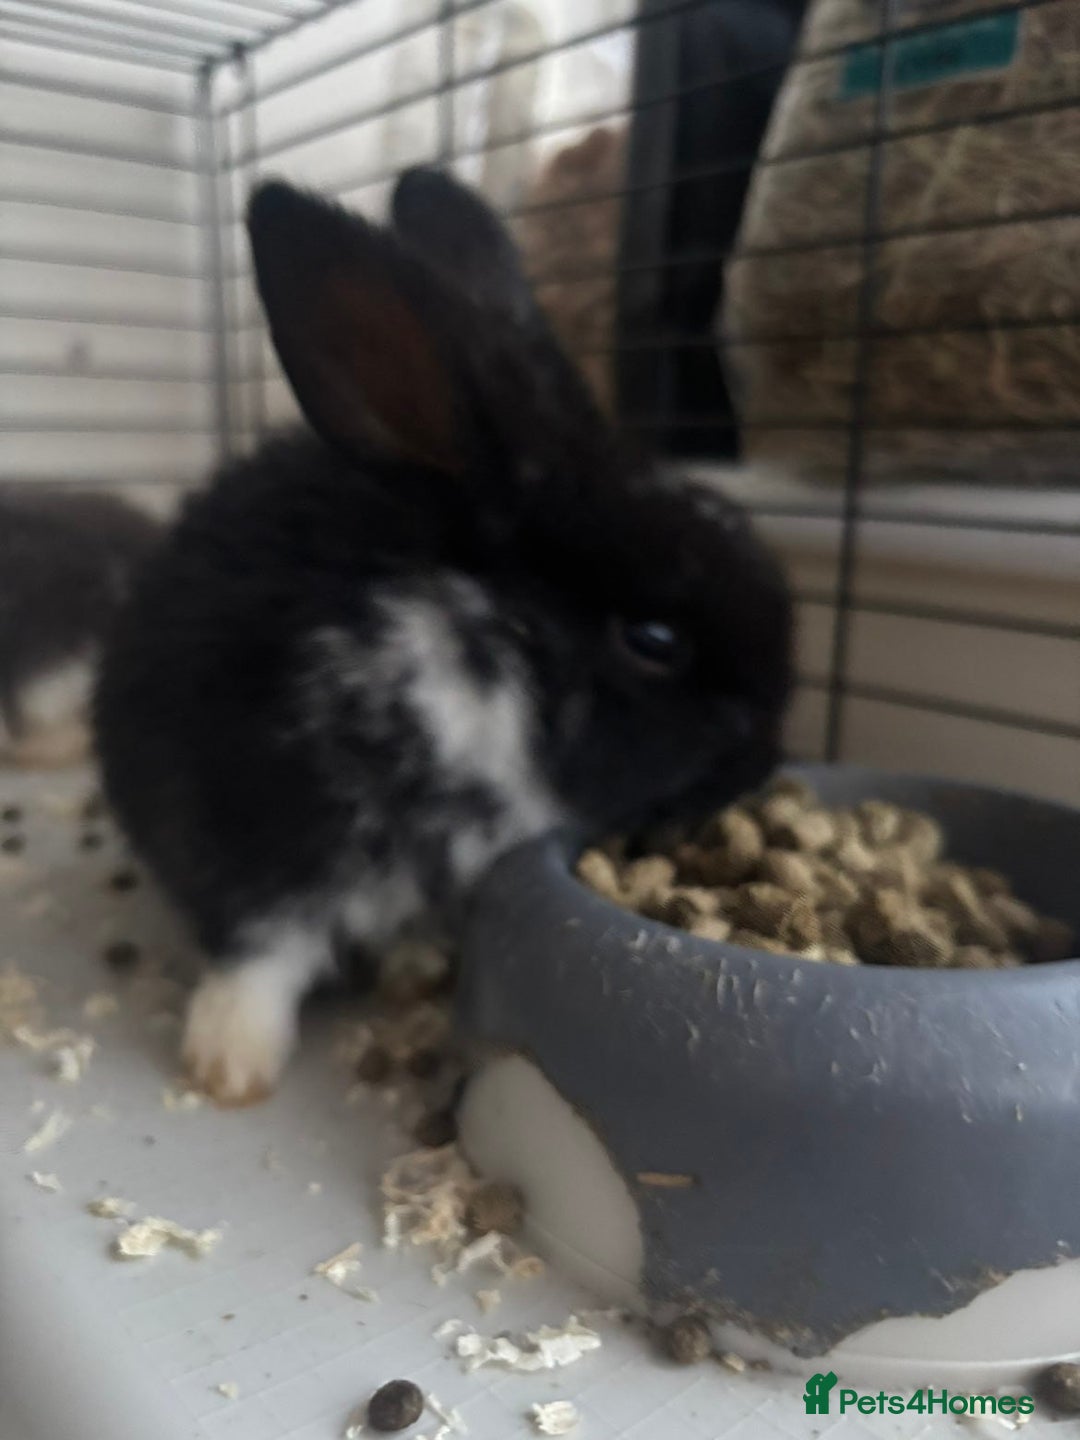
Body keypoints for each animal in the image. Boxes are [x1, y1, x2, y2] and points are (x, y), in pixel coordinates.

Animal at [94, 167, 793, 1106]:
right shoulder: (258, 840)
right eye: (654, 640)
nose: (764, 762)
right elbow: (258, 957)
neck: (472, 664)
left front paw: (416, 974)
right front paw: (230, 1069)